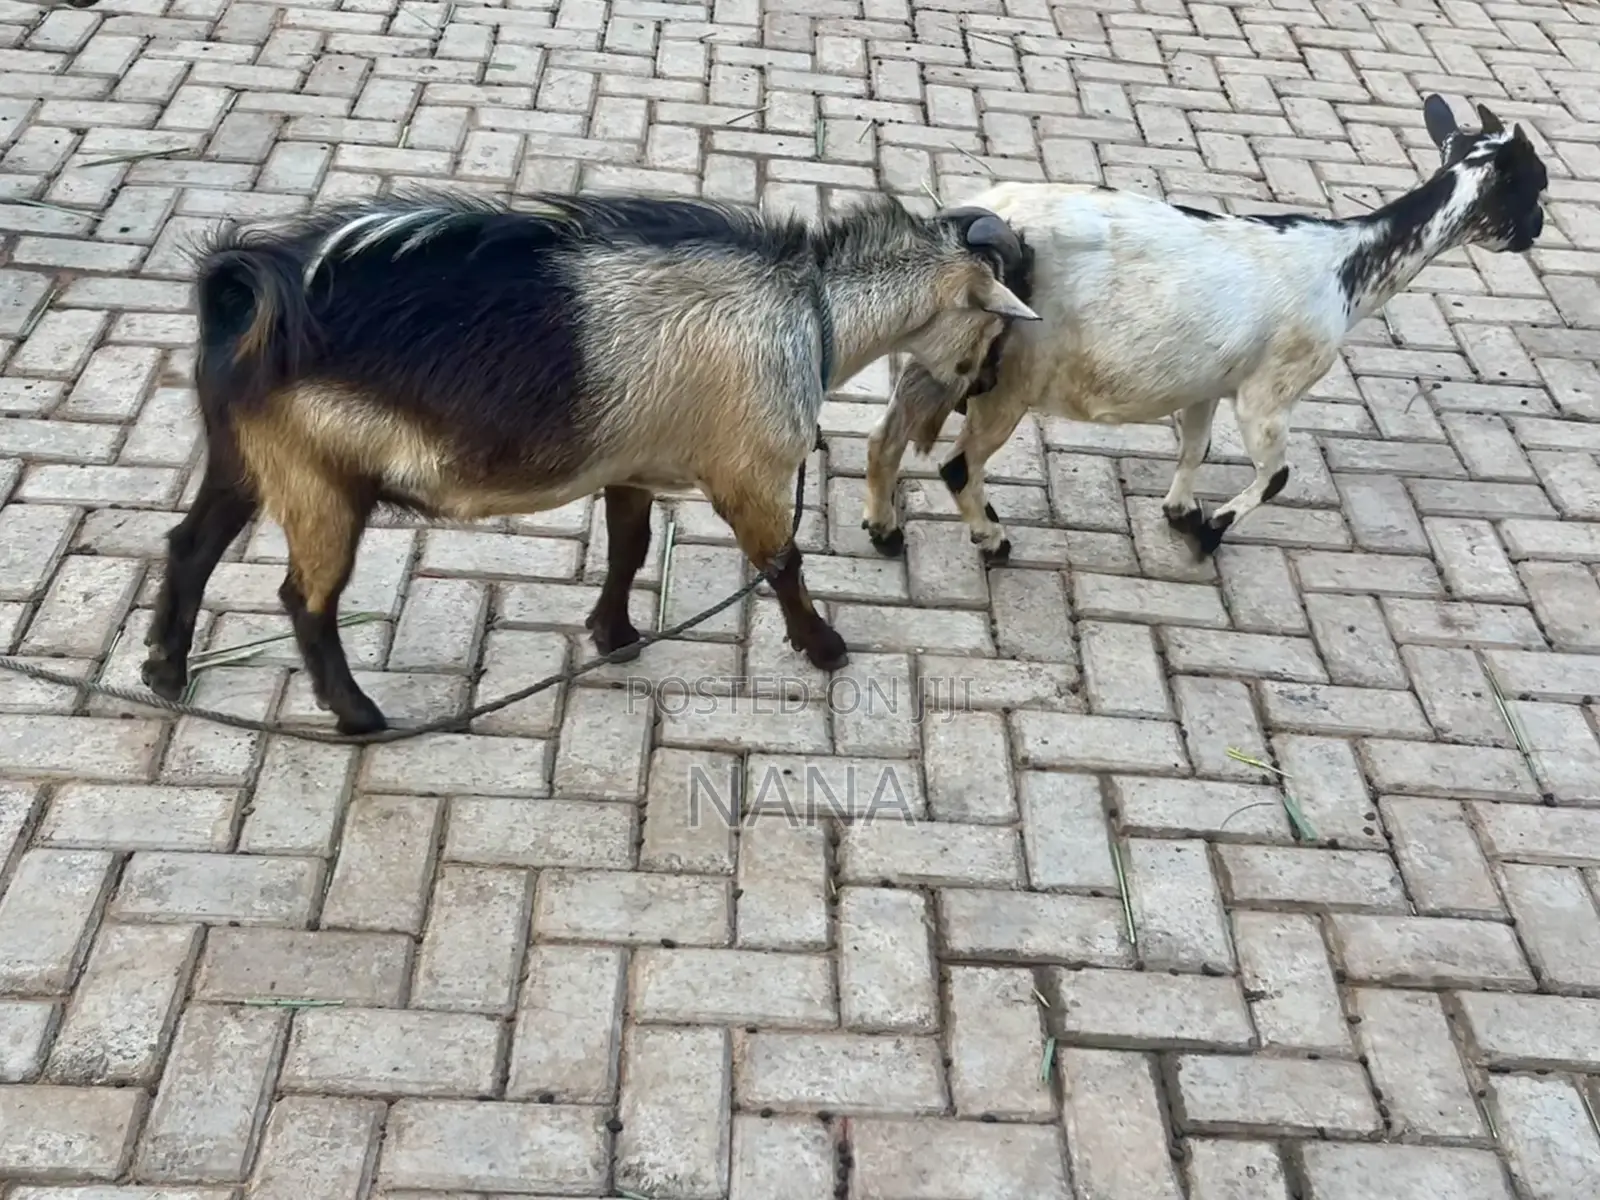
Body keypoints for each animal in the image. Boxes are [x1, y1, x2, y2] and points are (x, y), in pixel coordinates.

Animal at [141, 189, 1038, 735]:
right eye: (998, 321)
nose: (981, 392)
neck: (811, 310)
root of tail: (238, 302)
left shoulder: (630, 466)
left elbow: (629, 549)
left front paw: (614, 635)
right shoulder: (747, 474)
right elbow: (781, 560)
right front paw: (824, 646)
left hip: (247, 459)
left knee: (190, 546)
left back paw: (164, 670)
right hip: (318, 481)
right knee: (305, 598)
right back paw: (358, 715)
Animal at [862, 94, 1550, 563]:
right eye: (1535, 184)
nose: (1537, 231)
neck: (1345, 264)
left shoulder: (1206, 386)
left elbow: (1196, 447)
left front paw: (1179, 511)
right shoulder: (1270, 392)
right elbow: (1277, 476)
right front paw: (1209, 531)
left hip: (942, 357)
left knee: (885, 436)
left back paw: (885, 530)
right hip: (1005, 383)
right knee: (957, 467)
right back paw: (993, 539)